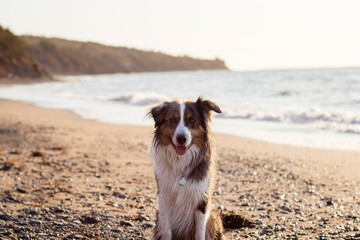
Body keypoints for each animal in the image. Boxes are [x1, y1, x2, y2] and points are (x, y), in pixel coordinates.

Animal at [148, 96, 222, 239]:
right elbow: (167, 231)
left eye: (192, 120)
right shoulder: (164, 197)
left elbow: (200, 233)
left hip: (212, 217)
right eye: (172, 120)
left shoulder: (202, 200)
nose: (181, 138)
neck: (180, 161)